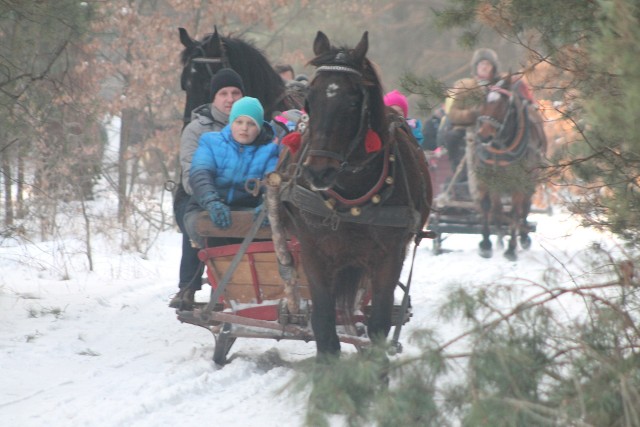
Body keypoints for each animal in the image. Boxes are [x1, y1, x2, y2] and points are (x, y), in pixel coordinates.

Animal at [276, 30, 436, 358]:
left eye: (352, 101)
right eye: (309, 99)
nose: (318, 172)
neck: (349, 193)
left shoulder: (390, 256)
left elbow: (379, 325)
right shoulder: (313, 252)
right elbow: (323, 322)